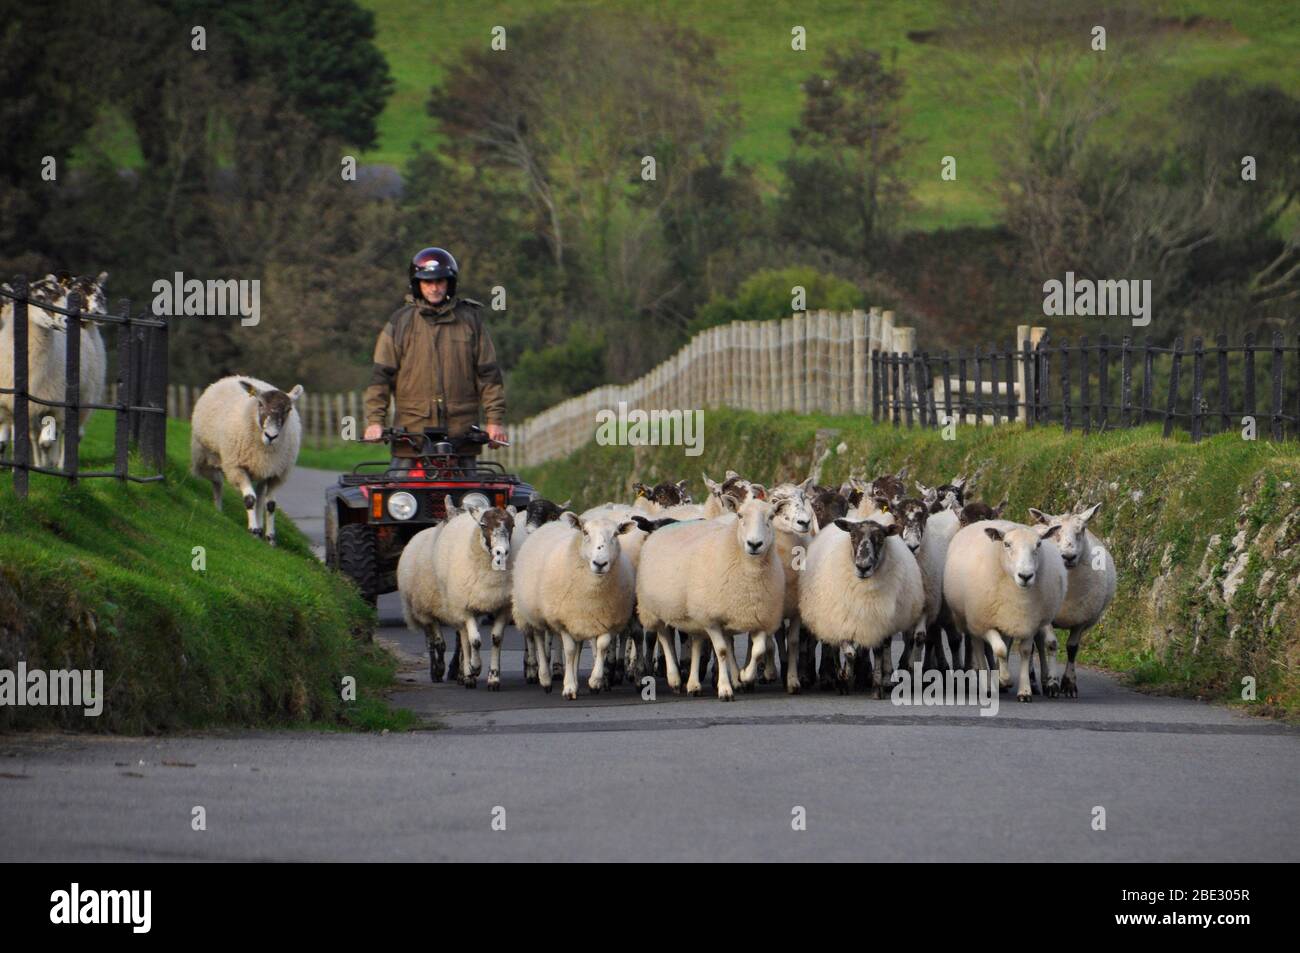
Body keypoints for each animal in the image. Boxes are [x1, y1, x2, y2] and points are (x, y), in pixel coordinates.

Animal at [189, 377, 302, 543]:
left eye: (288, 410)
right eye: (260, 404)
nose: (271, 436)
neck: (265, 450)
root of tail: (231, 377)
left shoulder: (276, 474)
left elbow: (270, 504)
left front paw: (270, 537)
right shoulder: (237, 468)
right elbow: (250, 499)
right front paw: (253, 531)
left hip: (262, 472)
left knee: (260, 497)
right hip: (205, 456)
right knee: (217, 481)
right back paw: (218, 510)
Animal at [514, 512, 642, 696]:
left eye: (616, 534)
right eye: (585, 532)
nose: (600, 564)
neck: (592, 593)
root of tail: (552, 523)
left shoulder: (605, 619)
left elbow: (601, 646)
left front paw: (595, 682)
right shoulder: (563, 621)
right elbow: (569, 650)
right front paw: (568, 687)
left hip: (579, 621)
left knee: (579, 647)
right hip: (534, 612)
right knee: (539, 639)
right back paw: (545, 680)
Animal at [631, 494, 780, 702]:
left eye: (772, 517)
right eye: (740, 515)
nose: (754, 544)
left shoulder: (759, 617)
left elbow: (757, 651)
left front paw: (743, 677)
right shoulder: (711, 619)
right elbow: (722, 651)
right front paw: (725, 689)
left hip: (694, 614)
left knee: (696, 643)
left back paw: (696, 684)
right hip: (655, 608)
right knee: (664, 637)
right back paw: (675, 679)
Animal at [795, 517, 930, 696]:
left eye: (881, 539)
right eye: (852, 537)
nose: (863, 567)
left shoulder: (877, 622)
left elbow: (877, 651)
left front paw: (877, 687)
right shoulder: (843, 621)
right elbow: (849, 653)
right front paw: (844, 678)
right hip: (831, 619)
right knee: (834, 647)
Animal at [946, 517, 1066, 702]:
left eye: (1038, 544)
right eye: (1007, 544)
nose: (1025, 576)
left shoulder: (1028, 623)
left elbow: (1024, 651)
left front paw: (1024, 690)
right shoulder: (985, 623)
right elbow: (1000, 650)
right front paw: (1004, 679)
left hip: (1007, 621)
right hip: (974, 621)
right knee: (978, 647)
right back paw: (988, 685)